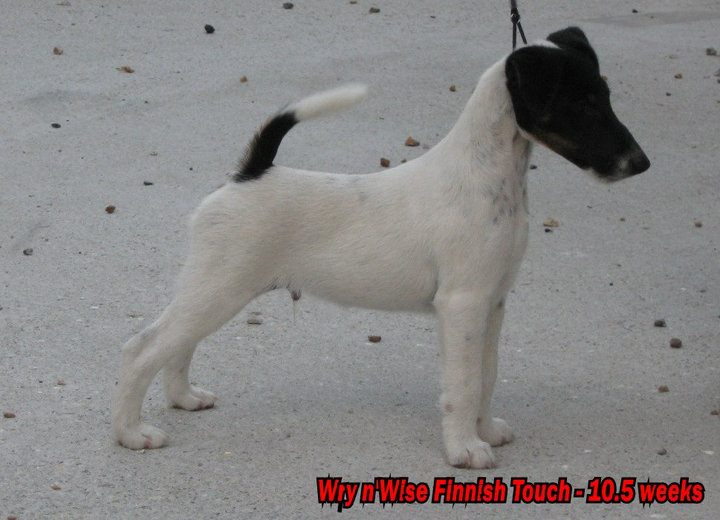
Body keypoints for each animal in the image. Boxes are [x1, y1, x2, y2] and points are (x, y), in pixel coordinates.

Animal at [112, 27, 650, 468]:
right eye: (581, 103)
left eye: (604, 96)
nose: (640, 163)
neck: (487, 174)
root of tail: (250, 173)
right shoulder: (462, 305)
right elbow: (463, 383)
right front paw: (464, 449)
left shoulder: (492, 303)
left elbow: (487, 375)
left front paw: (485, 431)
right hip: (219, 288)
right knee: (142, 349)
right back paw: (132, 434)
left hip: (213, 289)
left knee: (177, 344)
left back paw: (185, 398)